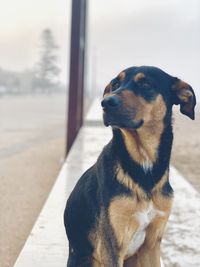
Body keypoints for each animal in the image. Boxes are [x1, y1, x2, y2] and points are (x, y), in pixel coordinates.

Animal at [63, 66, 195, 266]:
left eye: (145, 84)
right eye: (115, 84)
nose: (106, 102)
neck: (144, 166)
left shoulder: (152, 245)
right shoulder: (112, 247)